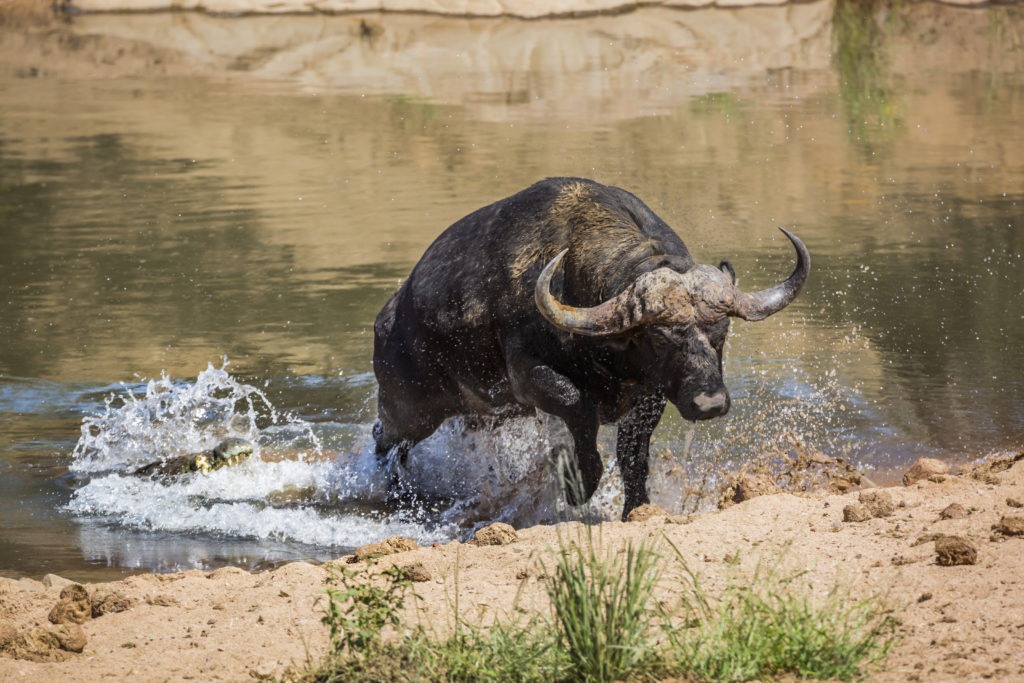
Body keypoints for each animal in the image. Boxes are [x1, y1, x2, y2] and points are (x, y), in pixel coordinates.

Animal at [372, 176, 811, 518]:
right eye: (660, 336)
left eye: (721, 332)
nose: (710, 404)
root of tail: (389, 316)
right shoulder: (529, 377)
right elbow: (577, 406)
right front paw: (576, 484)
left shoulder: (649, 394)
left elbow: (633, 458)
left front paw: (637, 508)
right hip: (408, 408)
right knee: (385, 441)